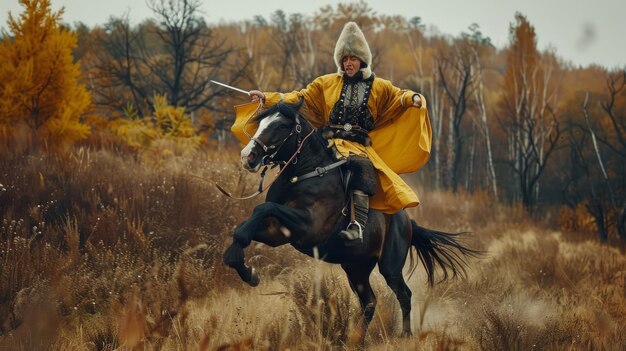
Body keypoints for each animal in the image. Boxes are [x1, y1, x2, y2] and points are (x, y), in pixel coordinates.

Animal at [222, 102, 476, 344]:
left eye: (282, 126)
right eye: (261, 122)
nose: (248, 156)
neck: (306, 174)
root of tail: (408, 222)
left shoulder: (308, 228)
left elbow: (263, 209)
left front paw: (242, 264)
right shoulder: (278, 232)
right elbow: (250, 223)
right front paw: (245, 269)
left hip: (390, 267)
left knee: (404, 294)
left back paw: (405, 334)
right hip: (356, 267)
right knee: (369, 302)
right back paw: (356, 340)